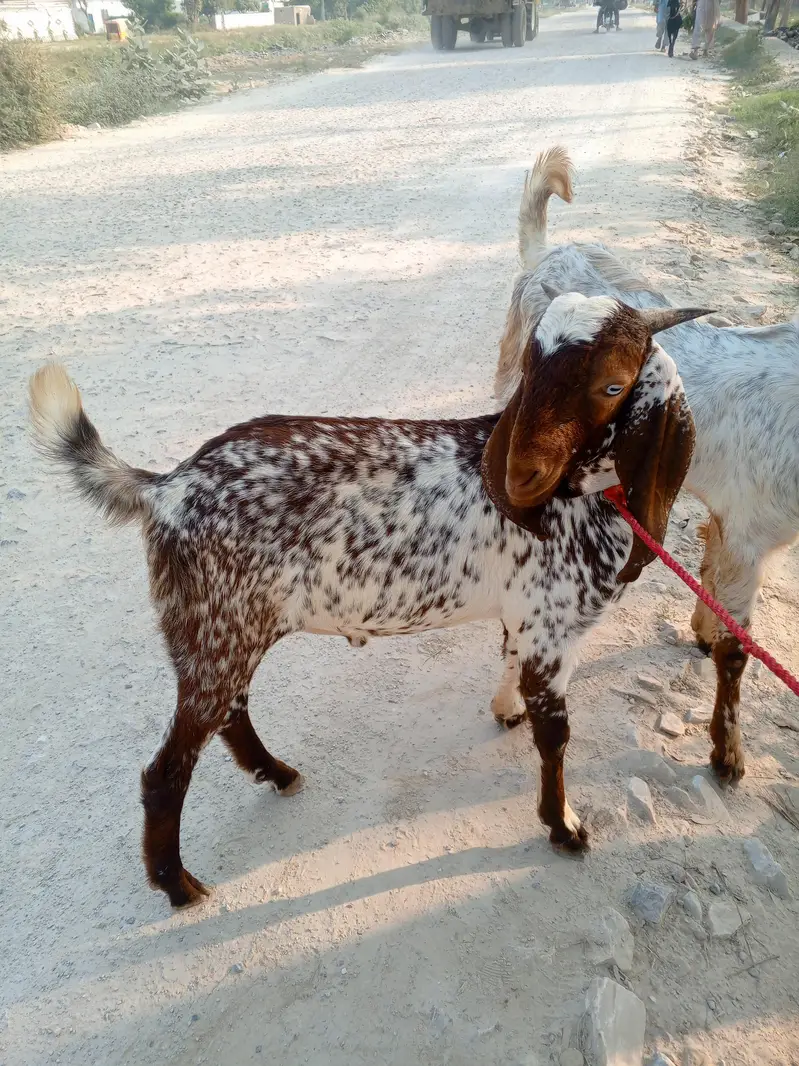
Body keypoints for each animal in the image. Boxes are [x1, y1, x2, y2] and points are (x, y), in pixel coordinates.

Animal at [29, 300, 704, 906]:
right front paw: (563, 828)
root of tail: (166, 489)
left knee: (232, 712)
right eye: (528, 371)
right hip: (214, 631)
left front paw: (506, 709)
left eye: (611, 384)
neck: (586, 499)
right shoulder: (553, 633)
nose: (518, 480)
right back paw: (178, 885)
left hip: (230, 628)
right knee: (167, 771)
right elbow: (556, 737)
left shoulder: (529, 622)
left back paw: (276, 774)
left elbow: (510, 665)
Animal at [495, 145, 799, 788]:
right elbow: (738, 650)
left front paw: (703, 631)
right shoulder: (752, 534)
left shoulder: (740, 525)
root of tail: (548, 255)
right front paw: (727, 755)